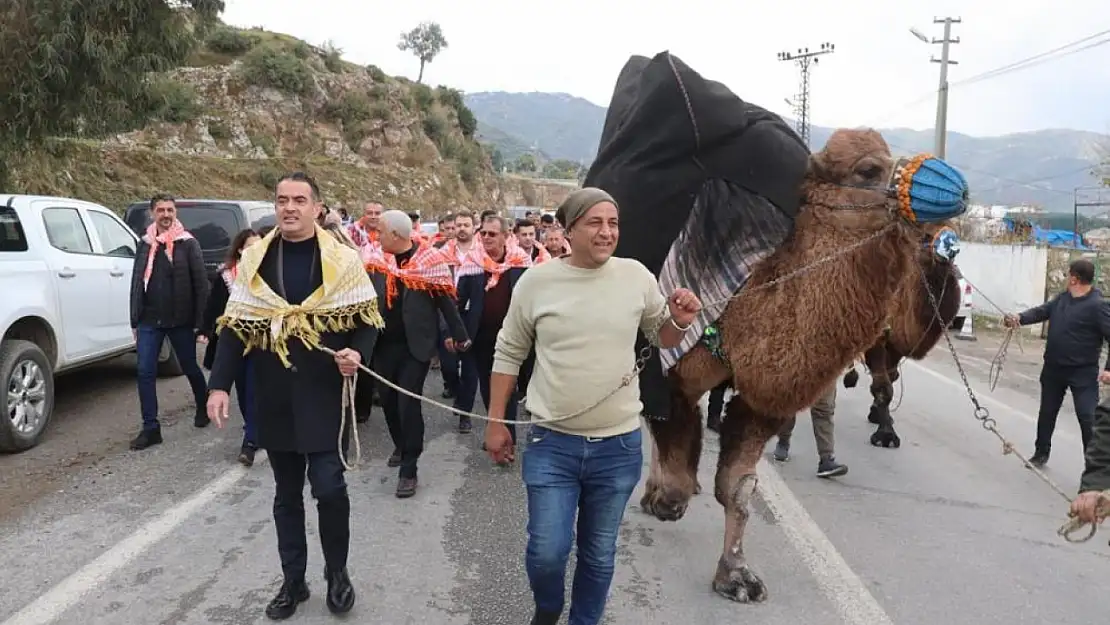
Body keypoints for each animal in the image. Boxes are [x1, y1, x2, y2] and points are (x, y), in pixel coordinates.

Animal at [639, 127, 950, 599]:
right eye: (868, 169)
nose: (949, 191)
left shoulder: (763, 400)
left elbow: (739, 487)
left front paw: (736, 576)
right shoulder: (673, 371)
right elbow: (669, 438)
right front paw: (667, 498)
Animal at [839, 236, 963, 450]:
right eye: (928, 245)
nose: (949, 250)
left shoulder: (896, 346)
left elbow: (892, 378)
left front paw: (877, 416)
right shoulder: (878, 338)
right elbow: (883, 387)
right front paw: (886, 436)